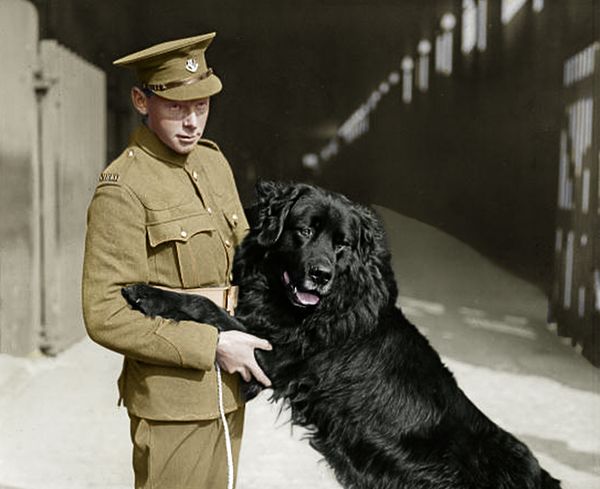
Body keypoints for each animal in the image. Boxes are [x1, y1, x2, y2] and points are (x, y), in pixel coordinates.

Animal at [123, 180, 564, 488]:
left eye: (343, 244)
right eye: (304, 231)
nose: (320, 275)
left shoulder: (269, 356)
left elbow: (207, 306)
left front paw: (147, 293)